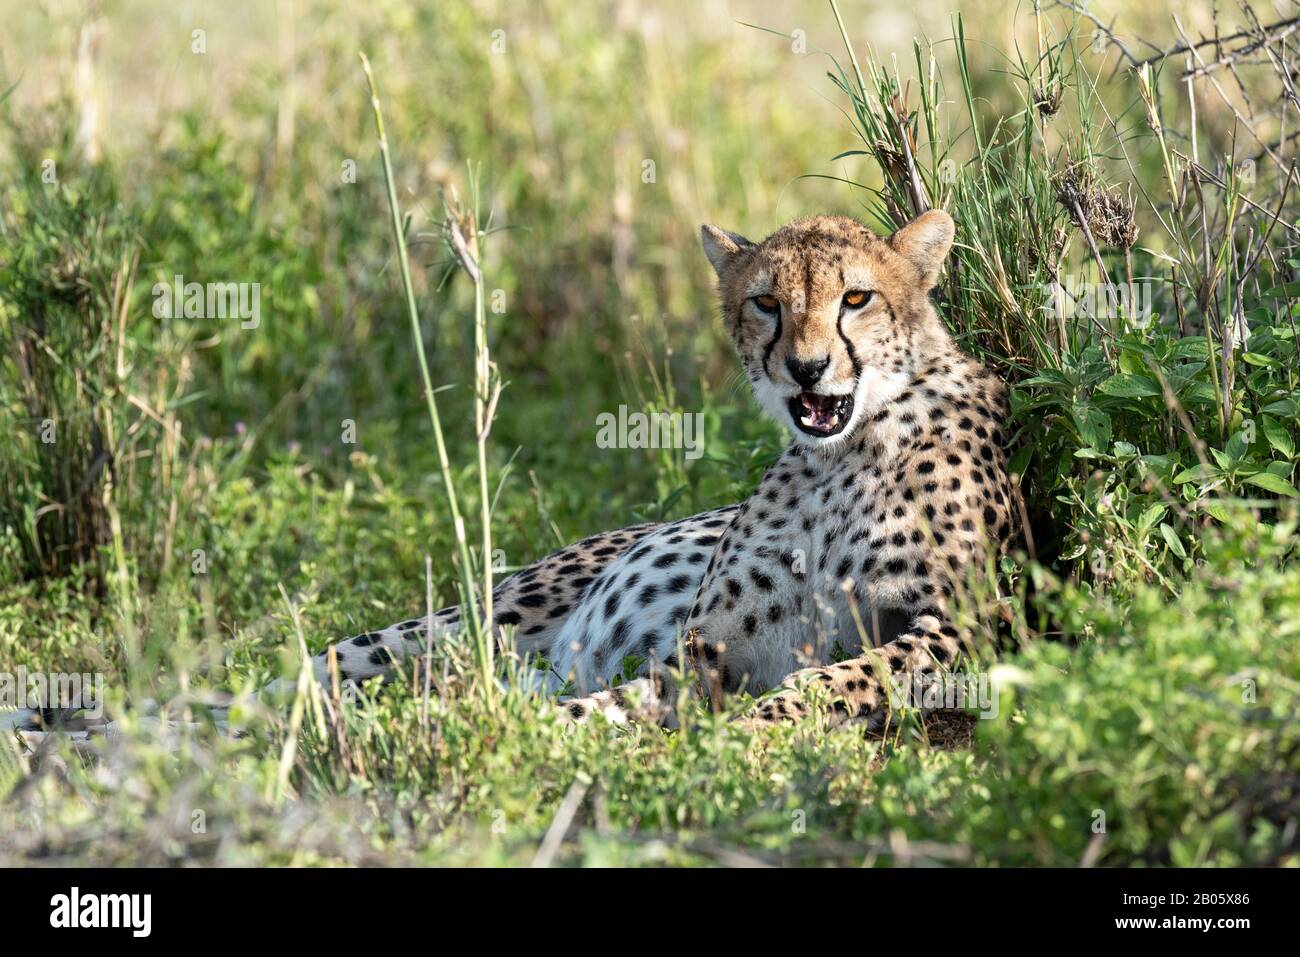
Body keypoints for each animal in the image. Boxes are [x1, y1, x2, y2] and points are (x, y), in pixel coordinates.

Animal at [5, 213, 1008, 743]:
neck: (845, 452)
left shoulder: (972, 625)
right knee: (290, 678)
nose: (805, 368)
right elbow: (639, 695)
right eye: (767, 301)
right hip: (466, 618)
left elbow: (845, 676)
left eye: (856, 298)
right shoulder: (703, 652)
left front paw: (759, 723)